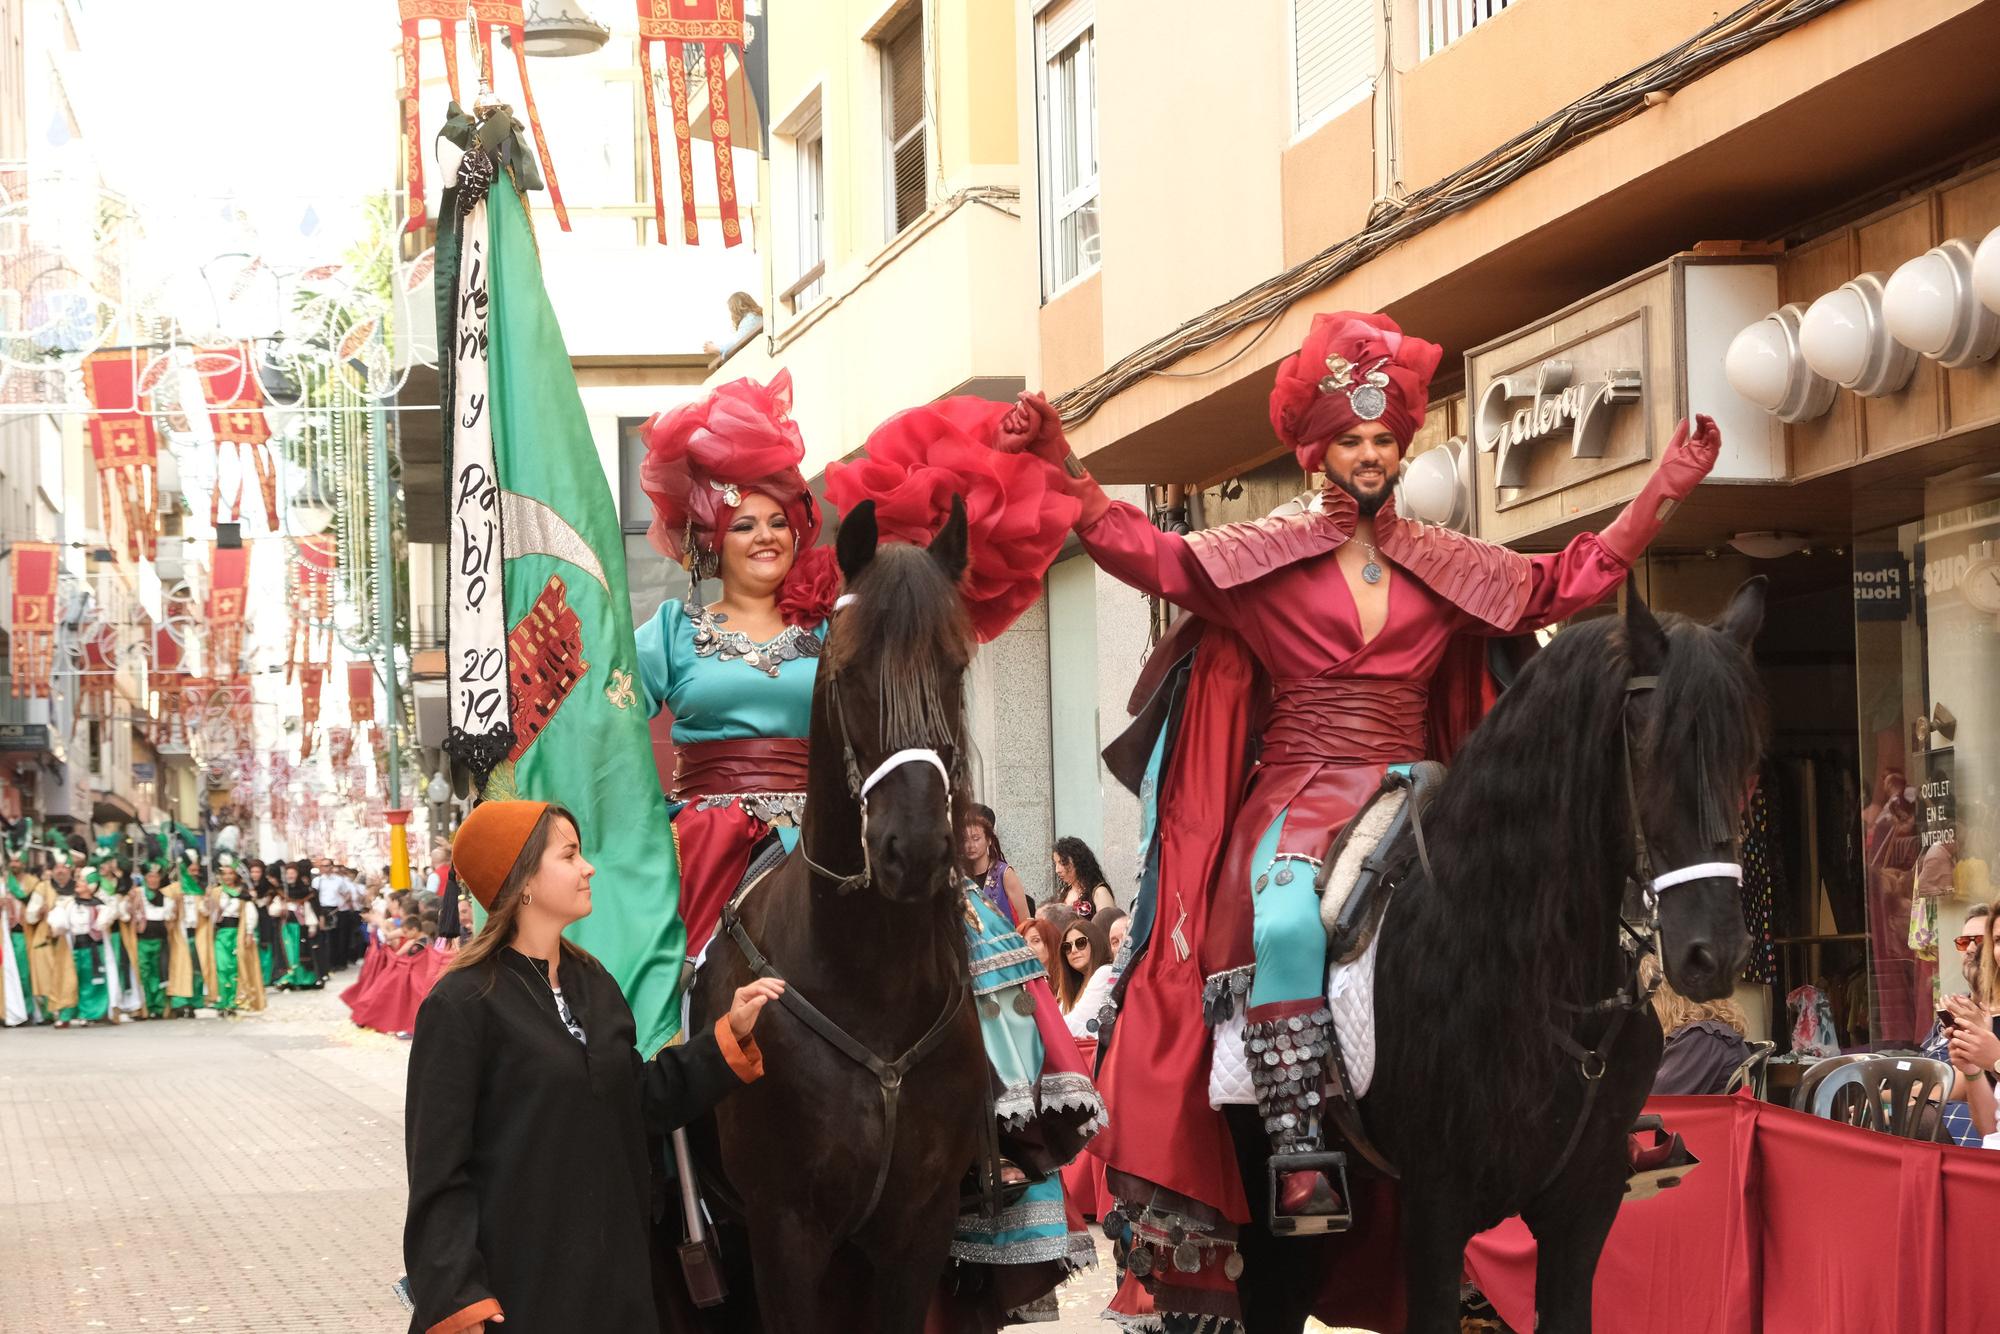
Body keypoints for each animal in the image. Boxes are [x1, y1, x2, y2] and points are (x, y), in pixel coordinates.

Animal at [692, 498, 988, 1334]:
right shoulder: (784, 1229)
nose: (912, 849)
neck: (869, 985)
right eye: (851, 672)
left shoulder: (918, 1227)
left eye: (954, 667)